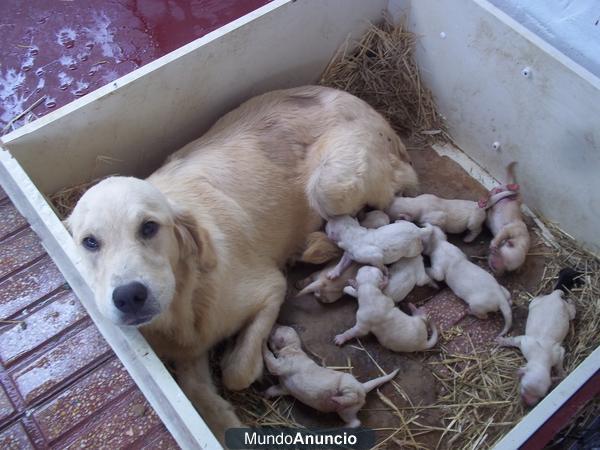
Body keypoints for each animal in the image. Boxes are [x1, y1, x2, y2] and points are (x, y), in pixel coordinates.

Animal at [262, 326, 398, 428]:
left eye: (273, 332)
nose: (272, 327)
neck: (292, 347)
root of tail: (362, 387)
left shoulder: (284, 364)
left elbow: (272, 362)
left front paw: (263, 344)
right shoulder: (284, 387)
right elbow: (274, 389)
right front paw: (266, 394)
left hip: (346, 386)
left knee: (353, 410)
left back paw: (339, 406)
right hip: (348, 410)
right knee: (354, 420)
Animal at [496, 268, 580, 406]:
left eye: (541, 396)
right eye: (524, 387)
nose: (528, 403)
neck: (540, 356)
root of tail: (554, 295)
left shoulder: (557, 352)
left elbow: (559, 363)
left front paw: (561, 373)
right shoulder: (525, 342)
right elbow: (514, 340)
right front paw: (501, 340)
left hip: (566, 311)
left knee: (571, 310)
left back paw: (571, 301)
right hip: (536, 302)